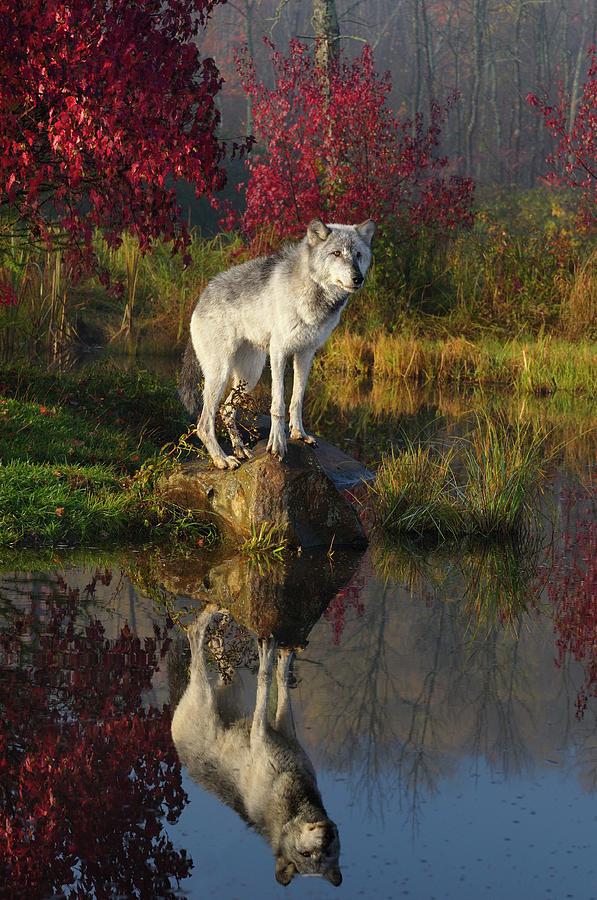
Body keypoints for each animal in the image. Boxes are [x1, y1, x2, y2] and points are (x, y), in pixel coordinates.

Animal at [170, 604, 342, 884]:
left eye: (327, 852)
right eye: (306, 854)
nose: (326, 836)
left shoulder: (285, 733)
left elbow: (278, 680)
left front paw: (281, 656)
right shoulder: (262, 733)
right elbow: (266, 677)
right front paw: (273, 654)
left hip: (232, 686)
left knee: (218, 653)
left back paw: (220, 628)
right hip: (205, 691)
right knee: (195, 634)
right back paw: (212, 617)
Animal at [177, 221, 374, 468]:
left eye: (358, 255)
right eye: (337, 253)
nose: (358, 278)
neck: (313, 289)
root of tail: (201, 297)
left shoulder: (306, 353)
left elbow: (297, 399)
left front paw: (299, 434)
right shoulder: (279, 351)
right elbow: (278, 404)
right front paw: (277, 444)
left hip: (249, 376)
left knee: (227, 410)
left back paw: (240, 449)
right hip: (220, 374)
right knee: (204, 424)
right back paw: (222, 459)